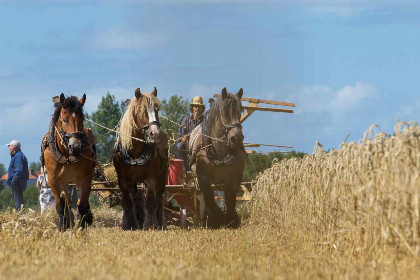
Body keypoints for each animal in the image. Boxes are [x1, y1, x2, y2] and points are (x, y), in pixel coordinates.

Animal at [40, 93, 96, 230]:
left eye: (82, 119)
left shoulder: (85, 178)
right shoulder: (53, 180)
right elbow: (61, 205)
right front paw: (63, 226)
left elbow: (83, 204)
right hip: (65, 183)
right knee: (68, 203)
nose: (75, 146)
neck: (66, 156)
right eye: (64, 120)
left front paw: (83, 224)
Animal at [114, 87, 170, 230]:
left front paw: (150, 224)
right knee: (136, 198)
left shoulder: (151, 178)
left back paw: (160, 222)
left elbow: (150, 202)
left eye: (156, 109)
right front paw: (128, 224)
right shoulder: (123, 180)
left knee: (159, 198)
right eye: (142, 111)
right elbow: (127, 202)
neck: (135, 151)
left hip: (162, 177)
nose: (155, 133)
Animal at [190, 88, 246, 230]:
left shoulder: (234, 179)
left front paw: (231, 220)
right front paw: (215, 219)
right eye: (225, 111)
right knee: (203, 196)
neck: (220, 151)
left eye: (241, 110)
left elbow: (230, 200)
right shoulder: (203, 178)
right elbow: (209, 197)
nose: (237, 138)